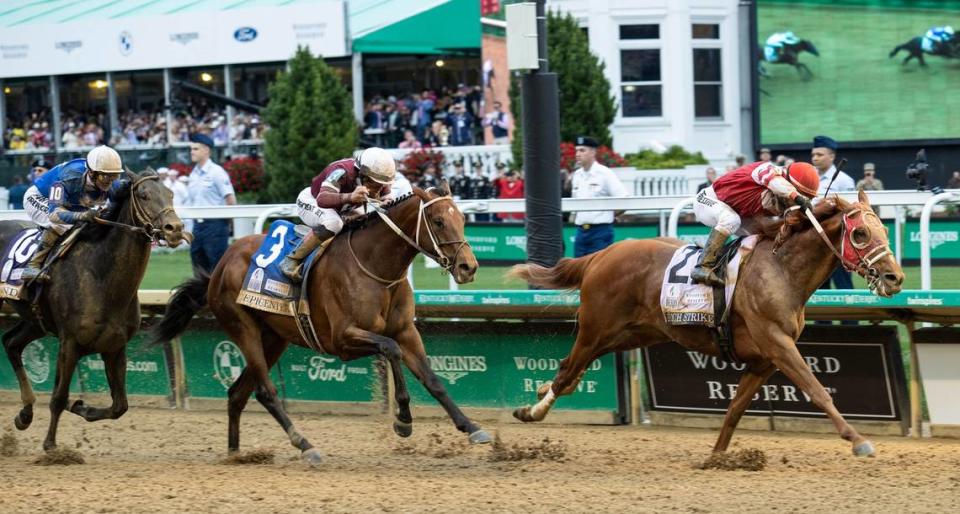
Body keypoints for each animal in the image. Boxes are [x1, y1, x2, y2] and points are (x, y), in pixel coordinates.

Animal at [0, 170, 186, 450]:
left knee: (11, 343)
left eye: (171, 193)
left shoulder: (114, 348)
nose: (175, 229)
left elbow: (119, 406)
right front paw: (51, 446)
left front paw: (81, 406)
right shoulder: (69, 344)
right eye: (144, 195)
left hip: (35, 320)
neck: (100, 277)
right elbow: (58, 398)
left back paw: (25, 413)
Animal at [155, 185, 496, 464]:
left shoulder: (406, 331)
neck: (375, 266)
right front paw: (403, 420)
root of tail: (221, 265)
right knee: (265, 392)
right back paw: (305, 445)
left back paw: (236, 454)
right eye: (438, 221)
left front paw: (471, 427)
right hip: (243, 328)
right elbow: (391, 350)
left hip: (274, 338)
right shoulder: (343, 339)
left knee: (237, 393)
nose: (468, 267)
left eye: (462, 220)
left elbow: (432, 379)